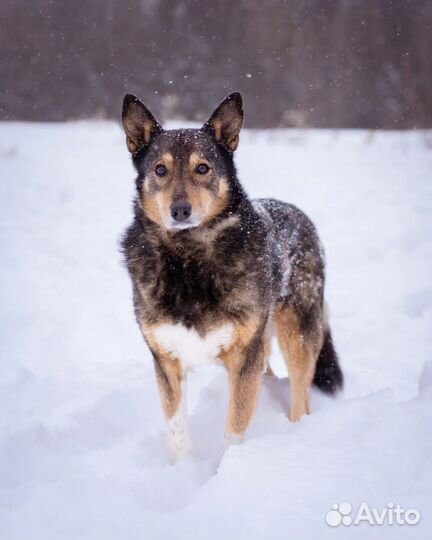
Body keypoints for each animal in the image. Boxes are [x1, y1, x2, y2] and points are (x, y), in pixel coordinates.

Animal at [120, 94, 342, 460]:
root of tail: (298, 213)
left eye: (203, 168)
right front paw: (185, 471)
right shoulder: (167, 361)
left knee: (301, 397)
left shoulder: (244, 359)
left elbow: (234, 431)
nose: (180, 211)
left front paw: (227, 469)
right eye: (160, 170)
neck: (188, 259)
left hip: (296, 334)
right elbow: (177, 430)